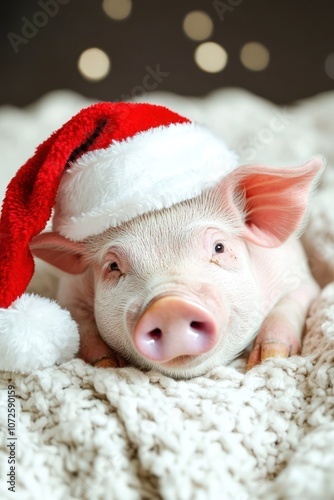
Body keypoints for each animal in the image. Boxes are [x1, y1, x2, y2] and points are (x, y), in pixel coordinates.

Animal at [30, 158, 322, 376]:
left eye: (219, 247)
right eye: (113, 266)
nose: (170, 306)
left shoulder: (300, 276)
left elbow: (292, 304)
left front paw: (269, 360)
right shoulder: (70, 293)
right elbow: (81, 324)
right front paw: (108, 364)